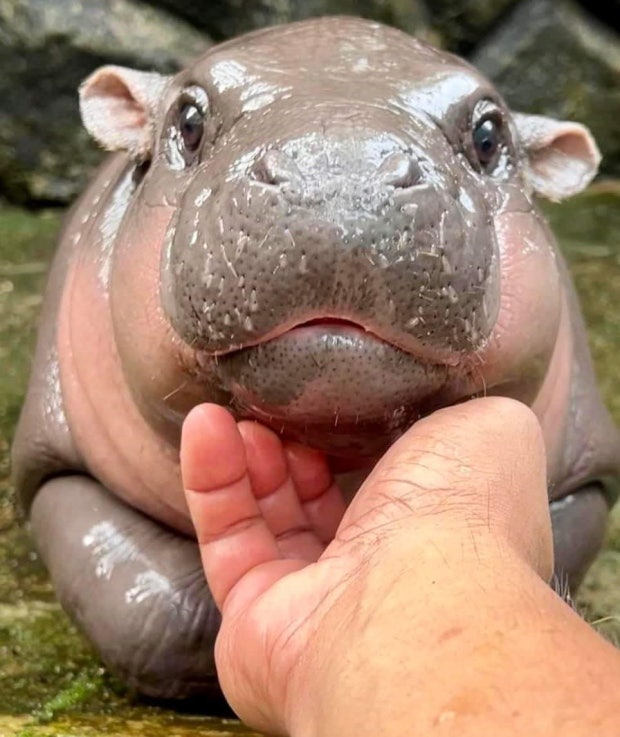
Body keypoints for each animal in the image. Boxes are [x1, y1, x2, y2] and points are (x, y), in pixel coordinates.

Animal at [12, 16, 620, 701]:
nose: (339, 174)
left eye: (489, 135)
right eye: (188, 121)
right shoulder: (53, 467)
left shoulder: (587, 480)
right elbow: (153, 610)